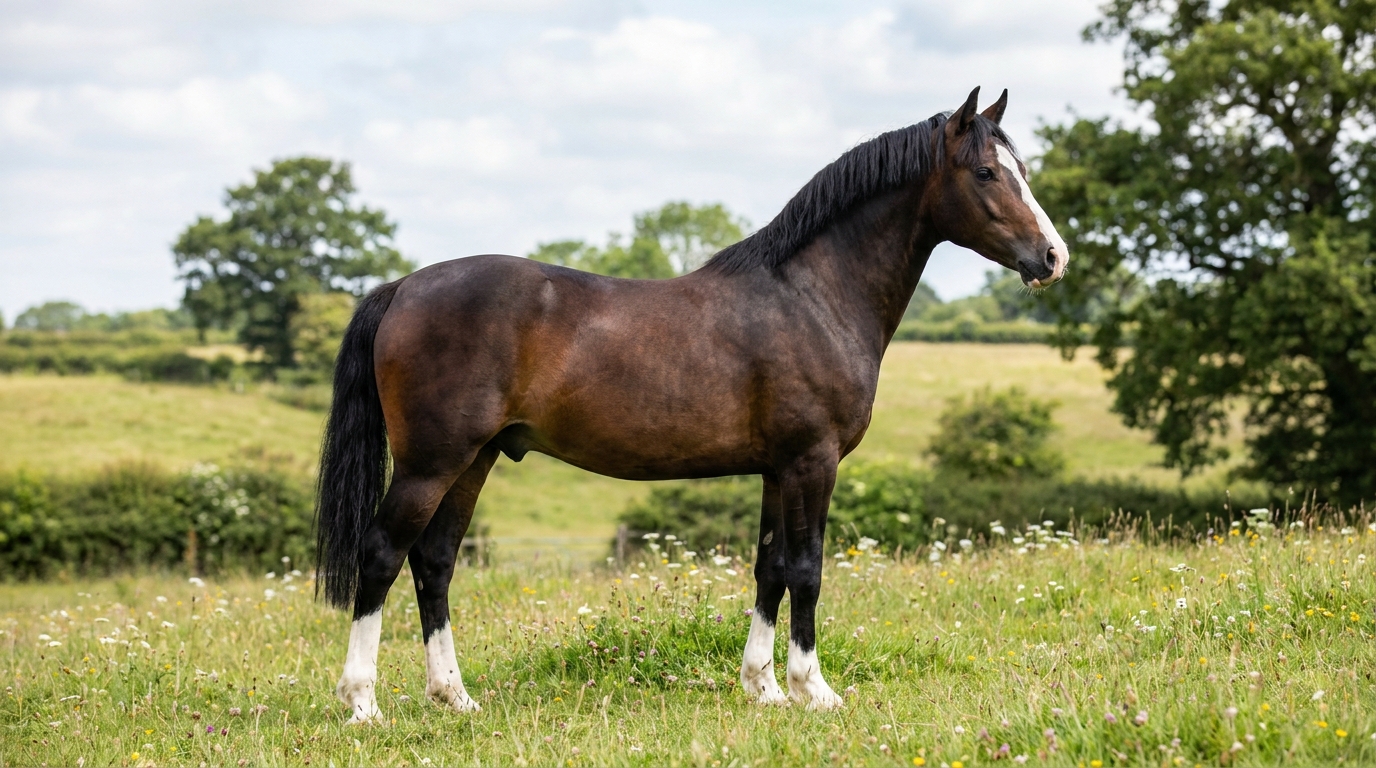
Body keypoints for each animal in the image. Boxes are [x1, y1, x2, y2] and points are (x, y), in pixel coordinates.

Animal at [314, 86, 1068, 722]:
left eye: (1023, 168)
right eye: (987, 173)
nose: (1053, 257)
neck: (811, 295)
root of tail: (403, 287)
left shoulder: (777, 469)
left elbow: (770, 570)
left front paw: (764, 688)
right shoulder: (812, 462)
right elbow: (807, 571)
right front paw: (814, 690)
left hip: (474, 459)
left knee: (435, 562)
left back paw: (454, 696)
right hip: (431, 463)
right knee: (382, 554)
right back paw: (362, 703)